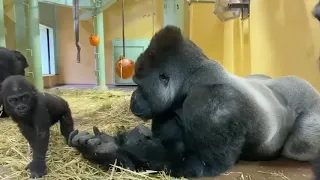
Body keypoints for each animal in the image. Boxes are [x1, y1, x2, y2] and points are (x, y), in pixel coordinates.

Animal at [69, 25, 320, 179]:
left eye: (139, 85)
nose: (133, 97)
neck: (191, 82)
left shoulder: (212, 106)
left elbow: (197, 163)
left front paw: (109, 146)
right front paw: (106, 147)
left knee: (299, 144)